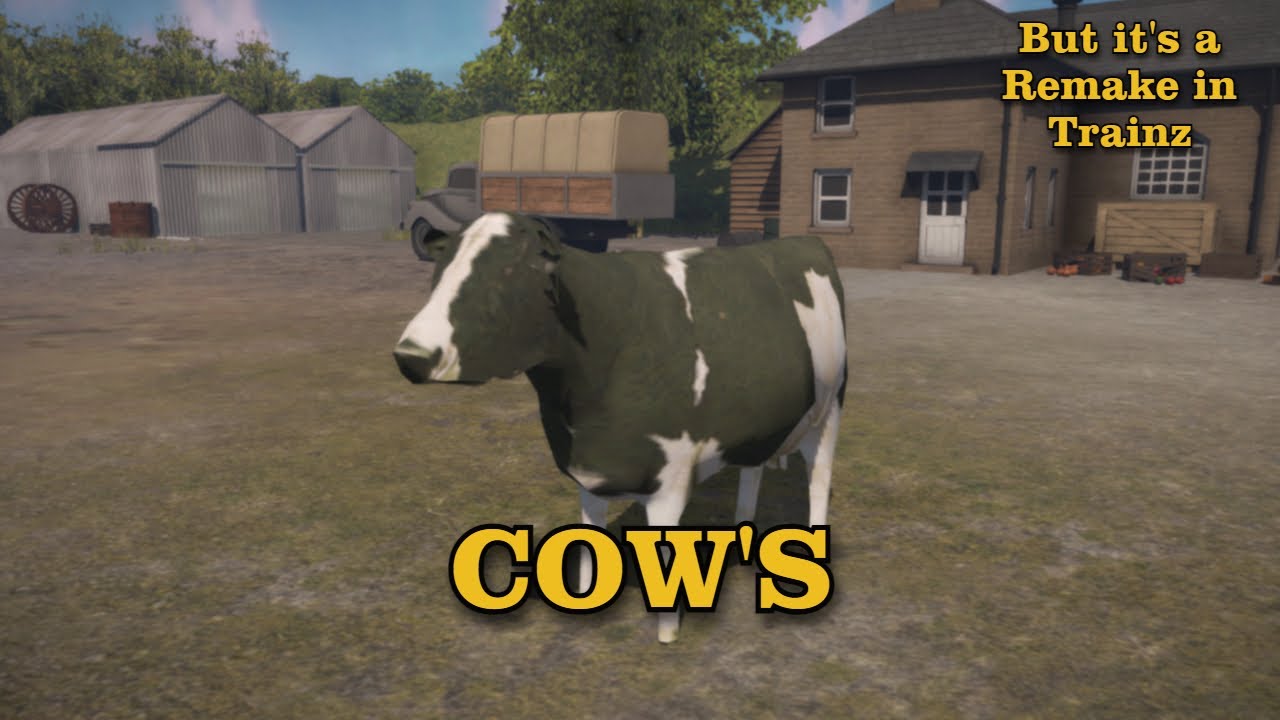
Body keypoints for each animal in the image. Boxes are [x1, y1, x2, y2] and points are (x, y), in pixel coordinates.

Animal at [393, 212, 847, 643]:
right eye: (440, 270)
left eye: (506, 270)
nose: (410, 355)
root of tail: (803, 241)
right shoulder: (588, 472)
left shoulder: (670, 480)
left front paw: (668, 633)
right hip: (763, 421)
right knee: (753, 469)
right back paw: (742, 528)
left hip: (829, 412)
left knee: (819, 480)